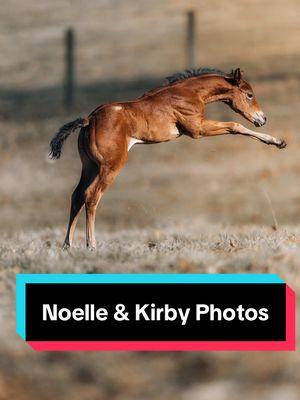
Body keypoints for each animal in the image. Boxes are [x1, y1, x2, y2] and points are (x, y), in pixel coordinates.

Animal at [50, 69, 288, 250]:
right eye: (249, 94)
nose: (262, 118)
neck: (189, 93)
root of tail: (89, 120)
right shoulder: (197, 129)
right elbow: (234, 125)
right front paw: (277, 141)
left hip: (89, 166)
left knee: (76, 196)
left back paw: (67, 245)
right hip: (110, 165)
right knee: (91, 196)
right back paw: (91, 245)